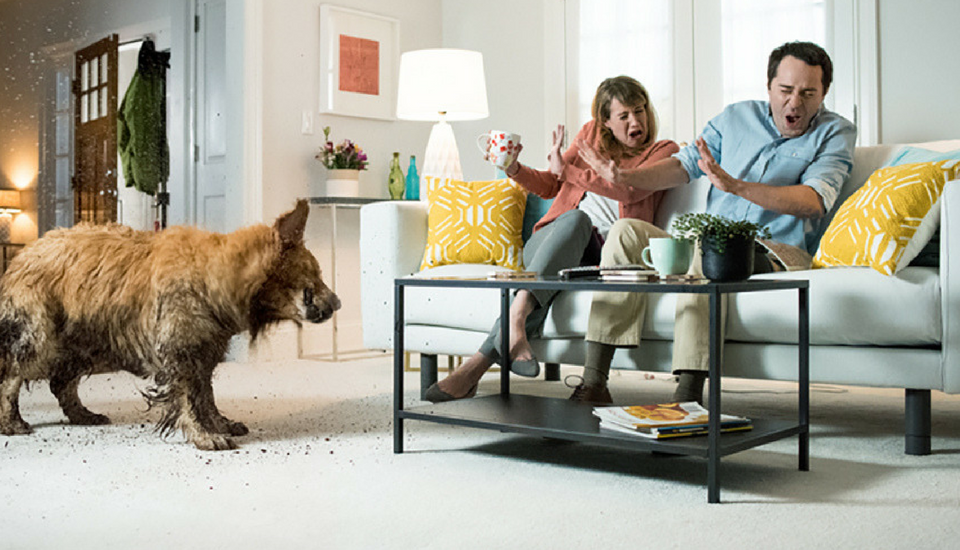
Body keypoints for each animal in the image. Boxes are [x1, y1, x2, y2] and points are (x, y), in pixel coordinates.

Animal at [0, 201, 342, 450]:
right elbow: (190, 401)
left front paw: (219, 424)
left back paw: (83, 415)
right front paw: (205, 435)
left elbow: (206, 398)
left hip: (86, 341)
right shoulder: (181, 354)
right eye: (315, 275)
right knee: (12, 376)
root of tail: (22, 255)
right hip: (41, 337)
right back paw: (10, 423)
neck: (209, 276)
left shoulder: (203, 355)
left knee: (61, 383)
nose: (338, 303)